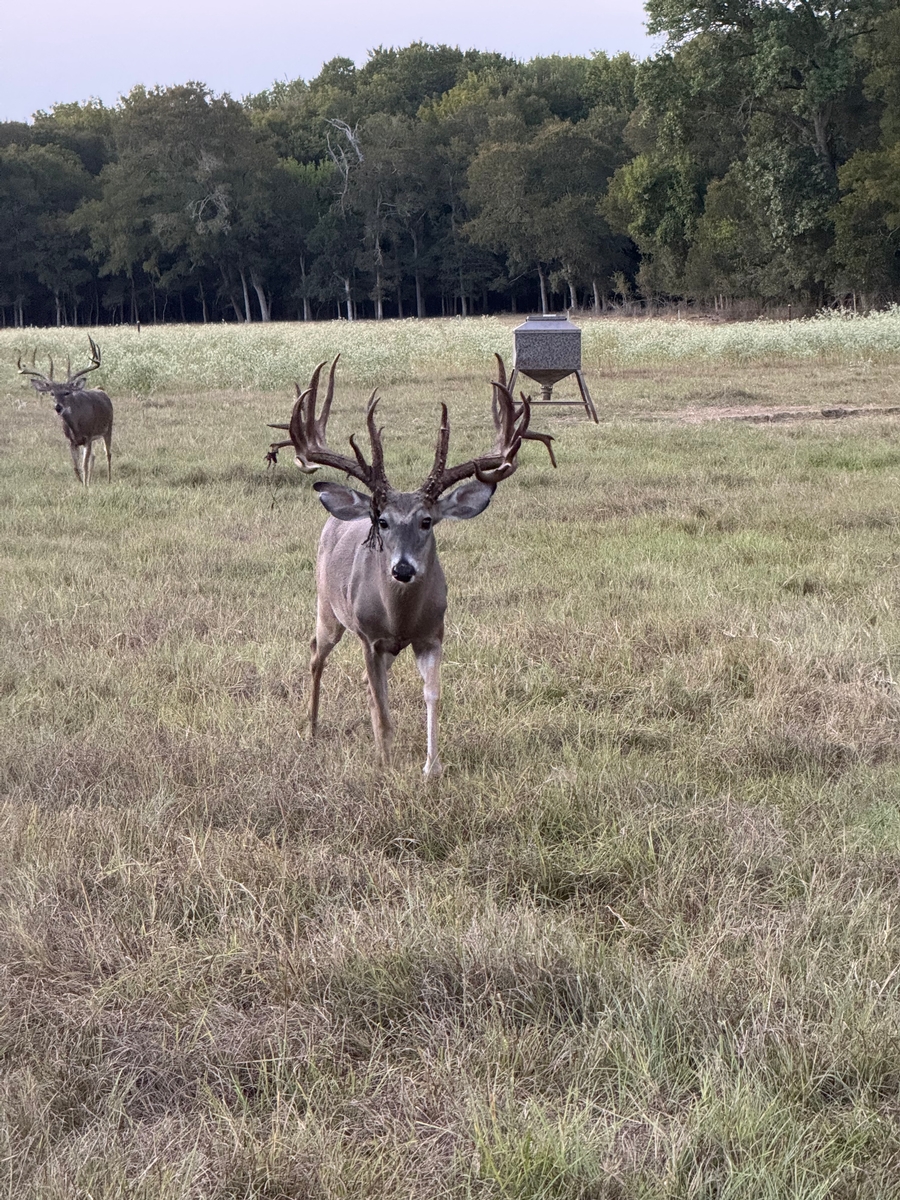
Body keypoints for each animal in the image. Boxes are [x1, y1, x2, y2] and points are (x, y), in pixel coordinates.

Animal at [17, 336, 113, 486]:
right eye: (52, 393)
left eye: (67, 392)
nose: (58, 407)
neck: (76, 427)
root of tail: (102, 391)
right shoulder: (72, 441)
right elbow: (76, 467)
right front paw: (82, 484)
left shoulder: (88, 436)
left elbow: (84, 465)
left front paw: (85, 486)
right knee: (94, 456)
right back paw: (90, 481)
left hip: (108, 428)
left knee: (107, 453)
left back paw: (109, 480)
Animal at [267, 354, 557, 777]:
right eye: (384, 522)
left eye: (427, 521)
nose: (402, 570)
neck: (399, 618)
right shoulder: (369, 638)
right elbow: (380, 706)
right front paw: (385, 763)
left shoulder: (433, 634)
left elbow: (431, 694)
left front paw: (431, 766)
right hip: (327, 608)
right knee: (316, 655)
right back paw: (311, 729)